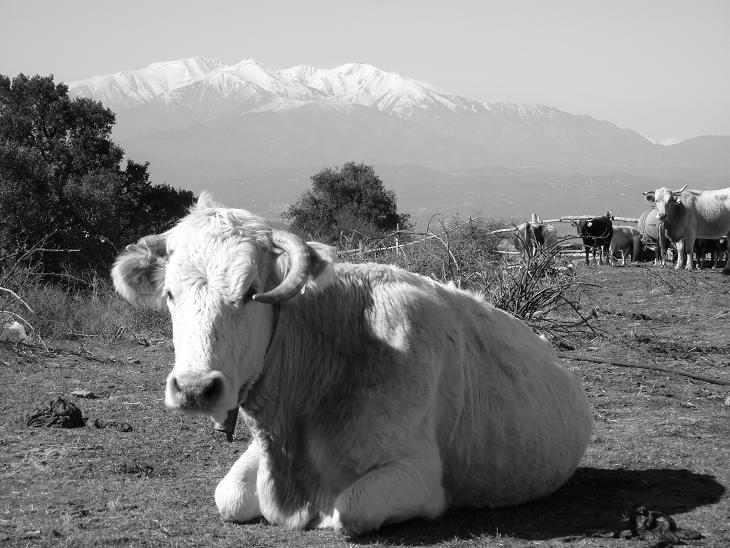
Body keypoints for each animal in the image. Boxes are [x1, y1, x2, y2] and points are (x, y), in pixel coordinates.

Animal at [112, 192, 592, 536]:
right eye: (170, 294)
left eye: (250, 292)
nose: (195, 389)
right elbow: (227, 495)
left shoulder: (418, 477)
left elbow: (349, 508)